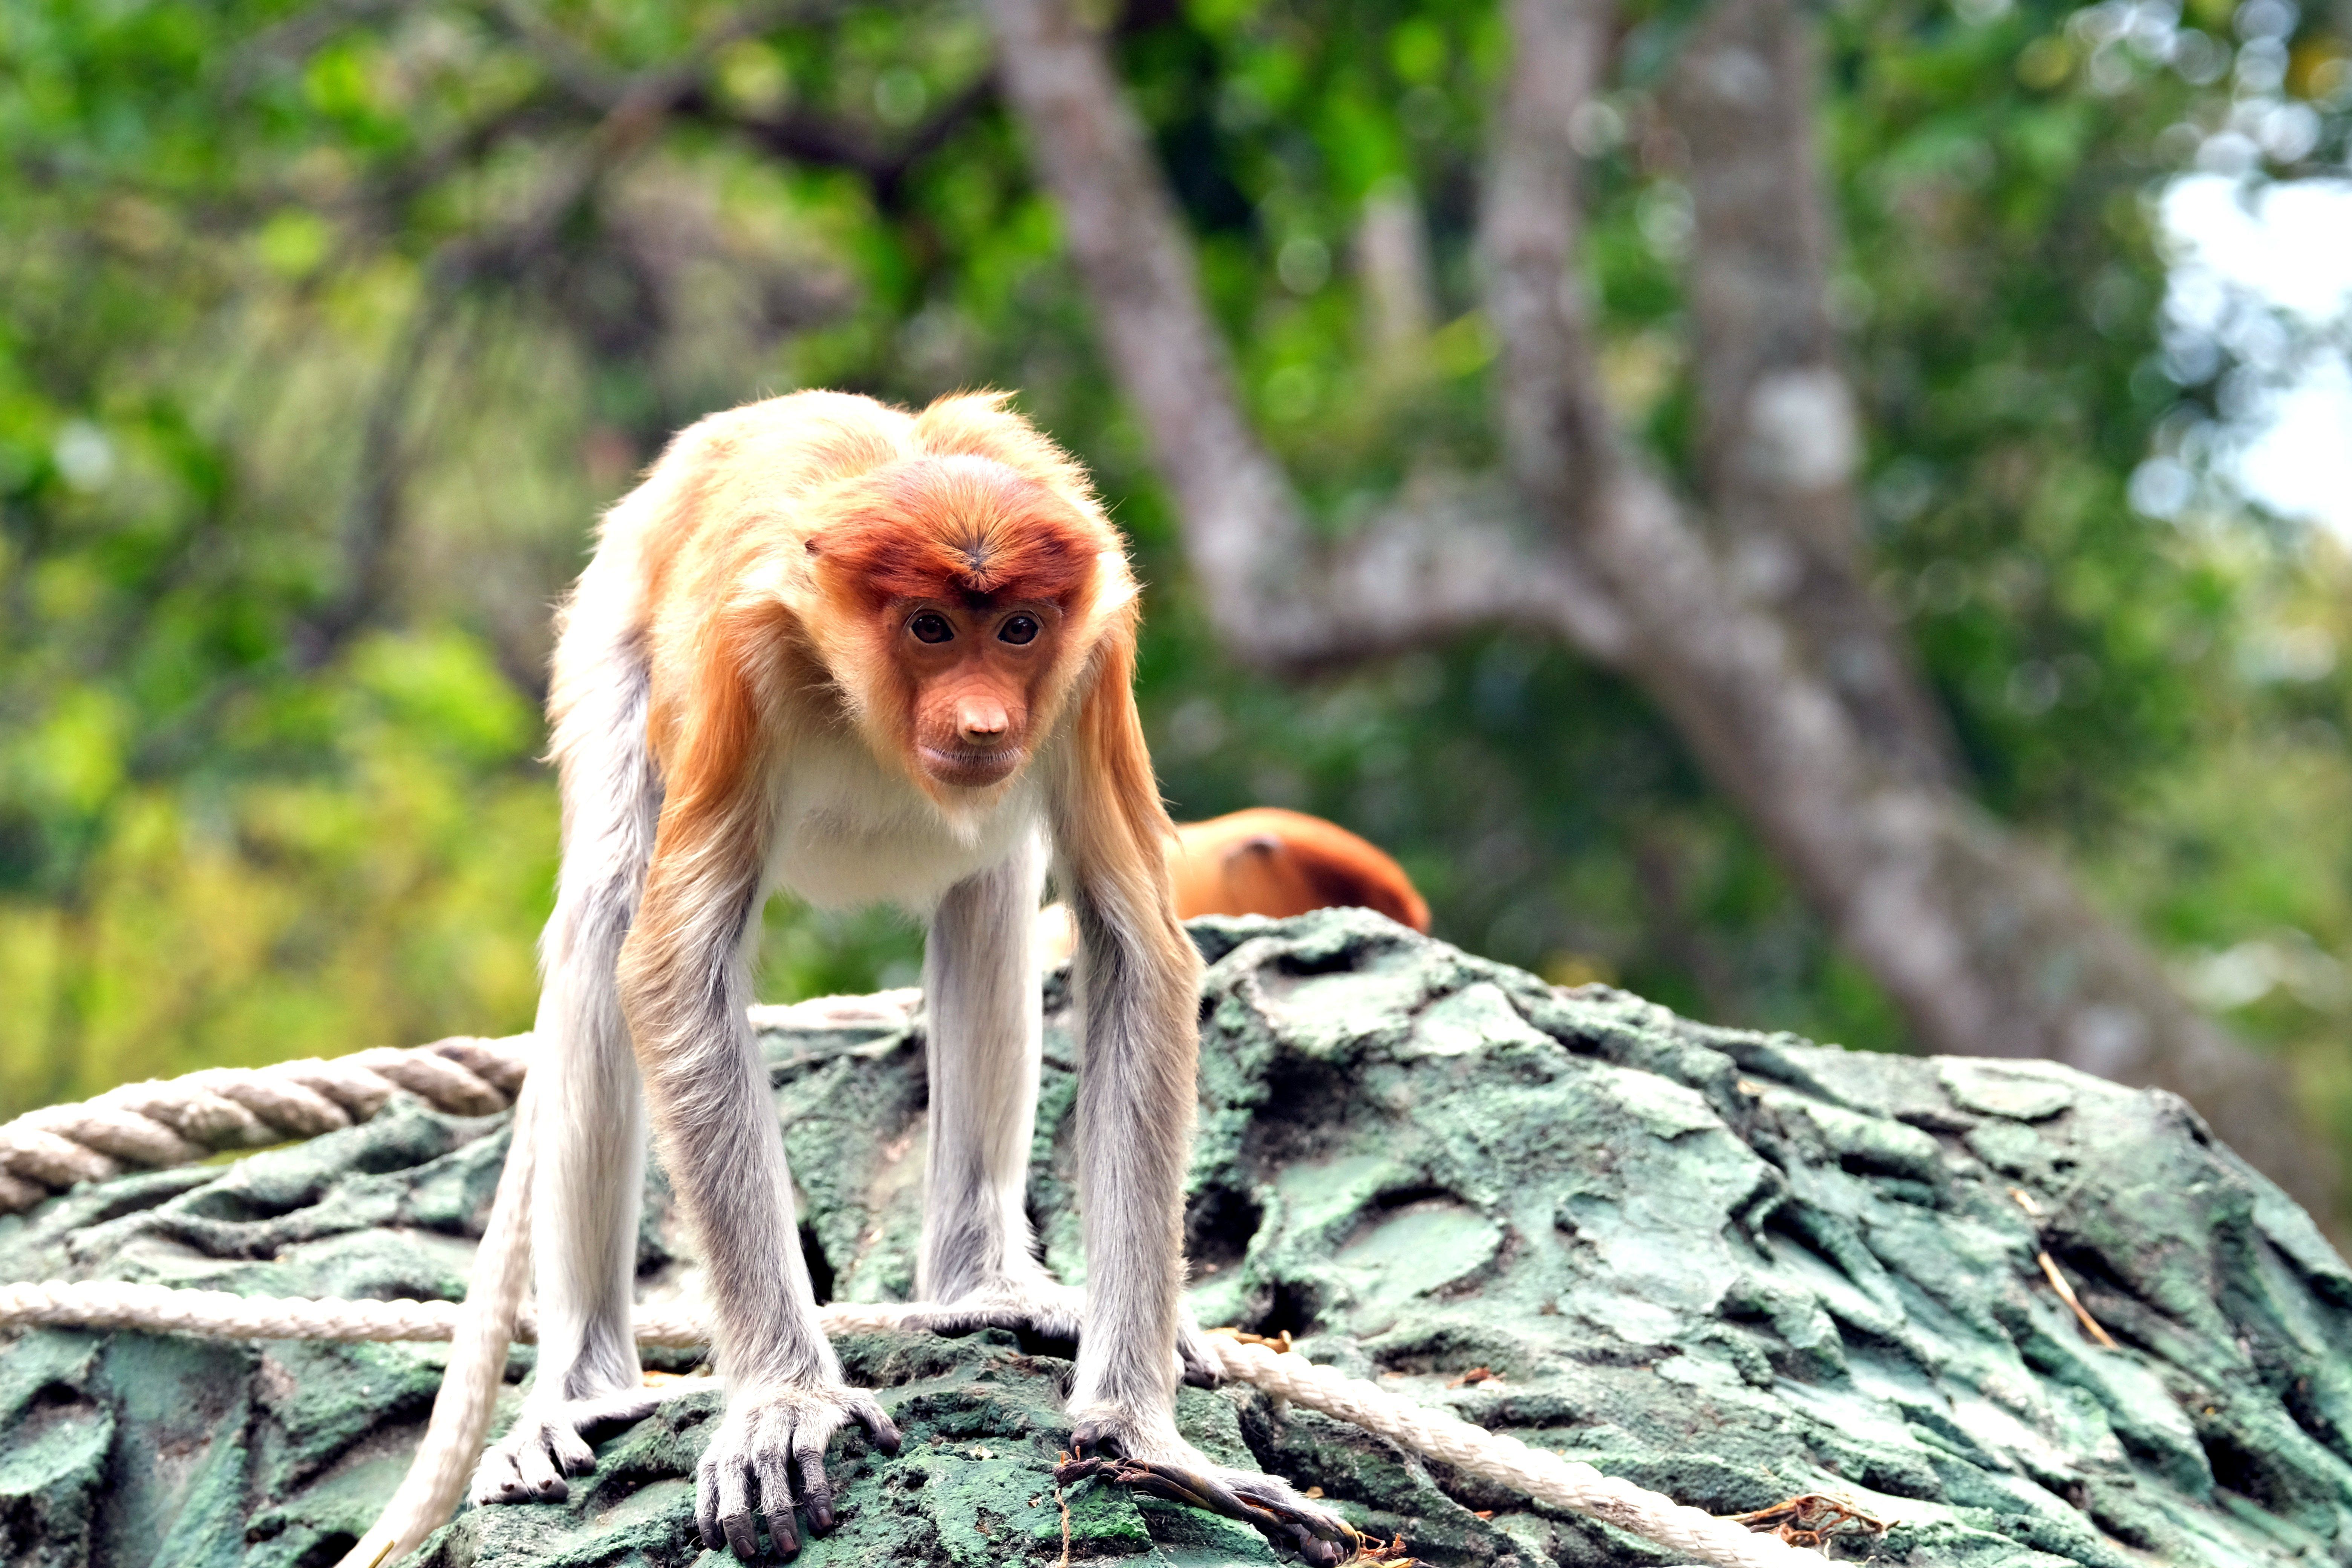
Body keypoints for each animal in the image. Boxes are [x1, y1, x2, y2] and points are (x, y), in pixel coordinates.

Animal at [456, 391, 1354, 1564]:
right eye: (930, 627)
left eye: (1018, 629)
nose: (982, 721)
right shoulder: (747, 652)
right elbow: (670, 963)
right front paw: (787, 1406)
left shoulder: (1094, 653)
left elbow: (1135, 953)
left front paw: (1141, 1437)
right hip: (617, 628)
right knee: (606, 911)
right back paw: (583, 1392)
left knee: (990, 883)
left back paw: (987, 1290)